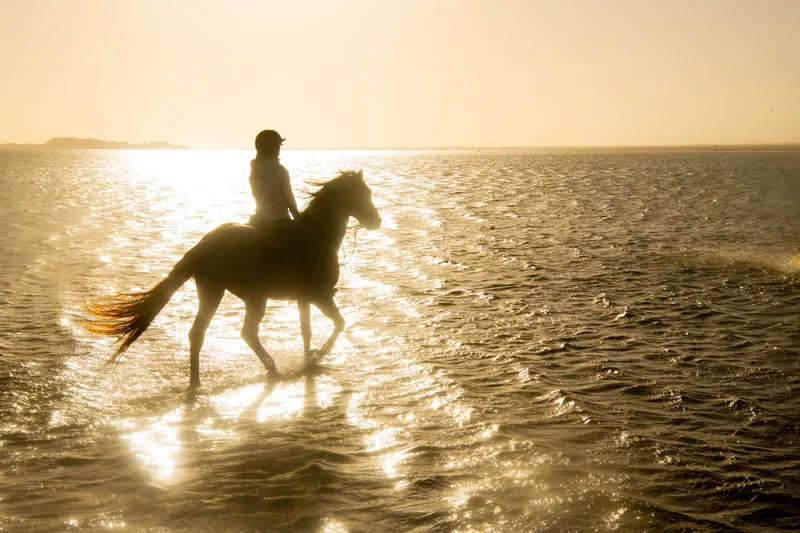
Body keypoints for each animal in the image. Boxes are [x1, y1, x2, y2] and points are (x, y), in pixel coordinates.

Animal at [86, 169, 381, 387]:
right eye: (362, 193)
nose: (376, 222)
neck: (318, 234)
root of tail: (203, 244)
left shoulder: (304, 298)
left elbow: (306, 330)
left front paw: (311, 359)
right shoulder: (319, 295)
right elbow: (339, 324)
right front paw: (319, 356)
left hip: (212, 291)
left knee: (199, 333)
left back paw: (196, 382)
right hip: (251, 296)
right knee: (246, 332)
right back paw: (271, 370)